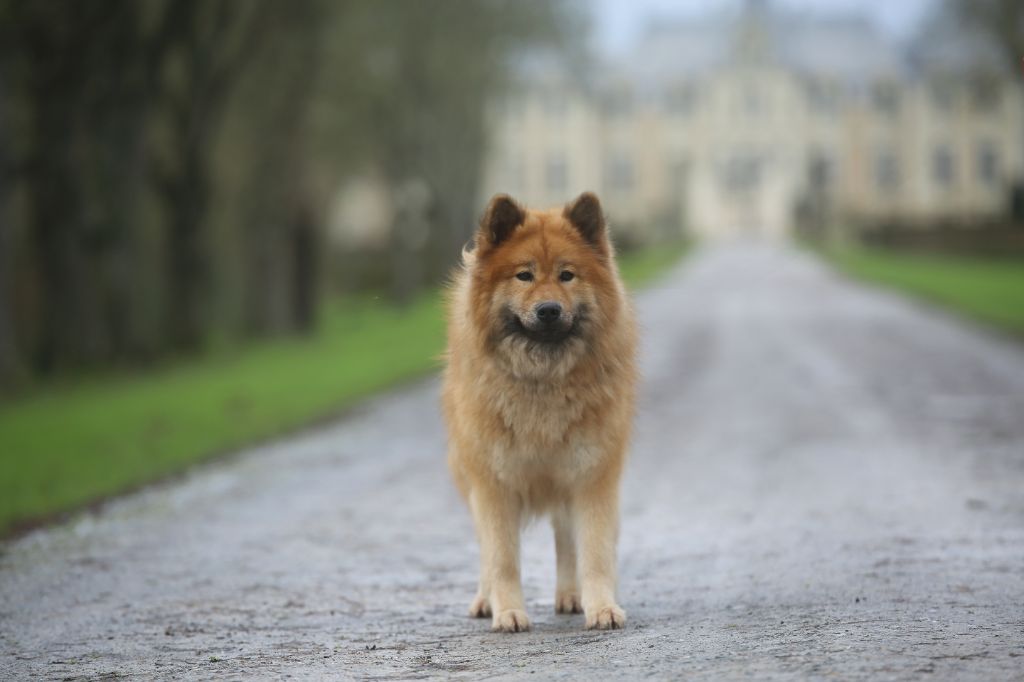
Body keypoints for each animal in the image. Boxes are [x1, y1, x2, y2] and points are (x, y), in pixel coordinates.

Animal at [442, 188, 634, 630]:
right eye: (524, 276)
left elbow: (594, 551)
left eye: (567, 275)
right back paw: (485, 600)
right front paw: (509, 611)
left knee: (566, 540)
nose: (549, 310)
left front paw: (601, 607)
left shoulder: (592, 476)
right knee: (486, 552)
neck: (542, 382)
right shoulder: (493, 484)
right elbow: (501, 558)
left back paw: (570, 596)